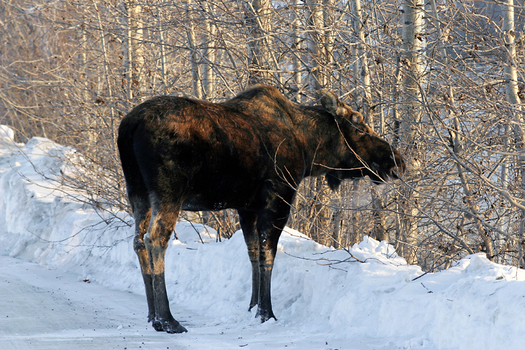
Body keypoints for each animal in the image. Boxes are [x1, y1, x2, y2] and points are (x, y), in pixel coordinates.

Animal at [117, 85, 406, 334]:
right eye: (361, 128)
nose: (398, 161)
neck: (309, 148)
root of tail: (129, 127)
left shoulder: (247, 207)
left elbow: (253, 253)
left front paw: (252, 306)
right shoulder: (278, 197)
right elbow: (269, 253)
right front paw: (266, 313)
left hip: (137, 191)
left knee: (137, 241)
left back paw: (151, 316)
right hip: (169, 192)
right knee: (155, 240)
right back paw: (167, 319)